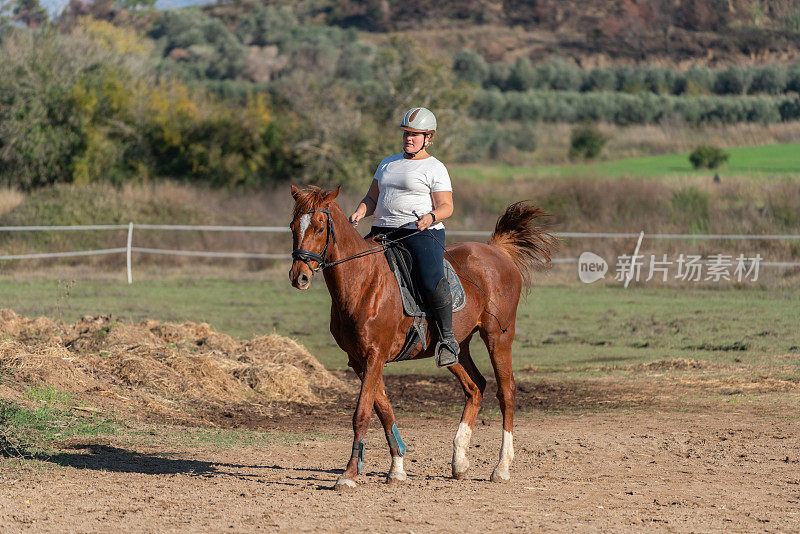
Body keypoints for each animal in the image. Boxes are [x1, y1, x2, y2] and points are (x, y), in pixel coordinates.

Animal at [290, 185, 556, 494]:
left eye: (320, 227)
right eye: (293, 226)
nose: (299, 276)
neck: (364, 281)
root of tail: (496, 250)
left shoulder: (374, 356)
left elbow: (362, 413)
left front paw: (349, 474)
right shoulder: (358, 360)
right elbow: (383, 409)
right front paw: (397, 468)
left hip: (498, 338)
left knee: (507, 393)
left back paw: (501, 467)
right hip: (454, 348)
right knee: (475, 387)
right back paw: (459, 461)